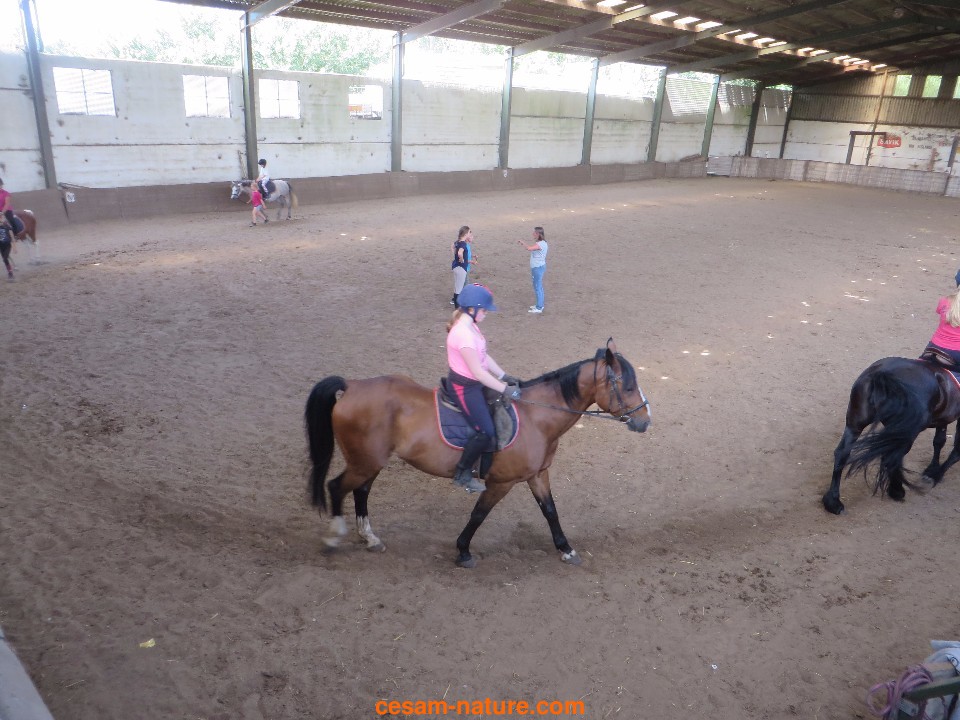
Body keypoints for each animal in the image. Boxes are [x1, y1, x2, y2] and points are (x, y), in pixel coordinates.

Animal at [305, 339, 651, 568]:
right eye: (628, 386)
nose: (645, 421)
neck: (536, 416)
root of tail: (352, 385)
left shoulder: (538, 474)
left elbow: (550, 511)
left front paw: (565, 549)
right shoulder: (502, 482)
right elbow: (479, 514)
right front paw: (463, 551)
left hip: (370, 461)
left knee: (360, 491)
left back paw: (370, 538)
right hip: (364, 461)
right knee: (337, 487)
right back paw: (334, 537)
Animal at [822, 356, 960, 514]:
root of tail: (882, 373)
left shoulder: (943, 418)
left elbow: (939, 441)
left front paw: (932, 469)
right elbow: (955, 450)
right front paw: (935, 475)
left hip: (856, 423)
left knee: (842, 453)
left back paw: (833, 502)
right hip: (906, 432)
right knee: (892, 457)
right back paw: (897, 491)